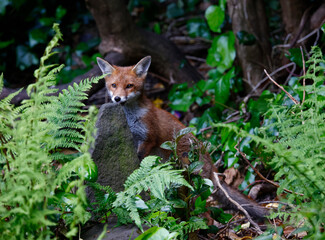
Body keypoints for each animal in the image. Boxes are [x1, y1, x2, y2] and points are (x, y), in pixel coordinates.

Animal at [95, 56, 268, 221]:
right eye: (114, 85)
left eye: (129, 86)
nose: (117, 99)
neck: (131, 118)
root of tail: (213, 167)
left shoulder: (148, 138)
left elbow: (141, 157)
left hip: (195, 186)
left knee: (205, 215)